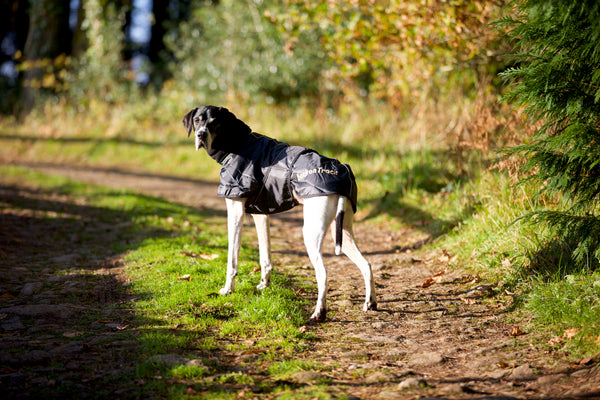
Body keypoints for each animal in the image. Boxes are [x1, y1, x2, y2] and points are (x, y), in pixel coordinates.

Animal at [182, 106, 376, 322]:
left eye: (214, 122)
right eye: (197, 120)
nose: (200, 135)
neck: (238, 143)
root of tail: (341, 170)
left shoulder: (235, 213)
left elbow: (232, 260)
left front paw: (227, 289)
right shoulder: (261, 215)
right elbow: (265, 256)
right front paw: (264, 285)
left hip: (311, 233)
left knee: (323, 274)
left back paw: (319, 312)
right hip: (342, 232)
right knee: (367, 264)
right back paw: (370, 303)